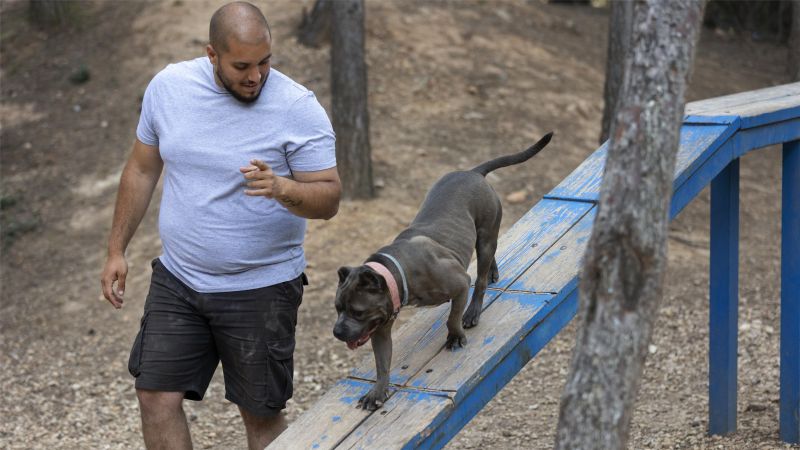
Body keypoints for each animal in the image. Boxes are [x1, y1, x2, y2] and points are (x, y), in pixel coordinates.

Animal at [332, 131, 552, 412]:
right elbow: (382, 363)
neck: (398, 272)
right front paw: (377, 392)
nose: (337, 332)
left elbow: (452, 317)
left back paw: (473, 311)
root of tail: (473, 172)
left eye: (357, 312)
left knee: (481, 280)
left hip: (485, 236)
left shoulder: (460, 283)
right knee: (490, 259)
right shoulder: (379, 329)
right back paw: (493, 272)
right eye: (337, 308)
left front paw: (455, 336)